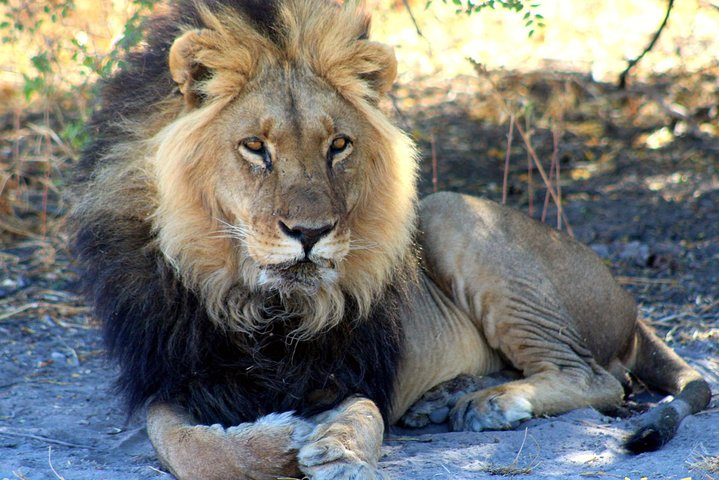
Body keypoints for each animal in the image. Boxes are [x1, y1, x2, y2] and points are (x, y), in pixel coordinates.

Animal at [68, 0, 710, 479]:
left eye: (338, 146)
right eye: (254, 147)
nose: (310, 234)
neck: (265, 307)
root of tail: (632, 308)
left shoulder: (350, 375)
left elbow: (360, 418)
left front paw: (337, 451)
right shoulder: (171, 380)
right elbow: (196, 450)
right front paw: (279, 438)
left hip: (451, 213)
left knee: (599, 379)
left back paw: (491, 403)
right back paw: (445, 400)